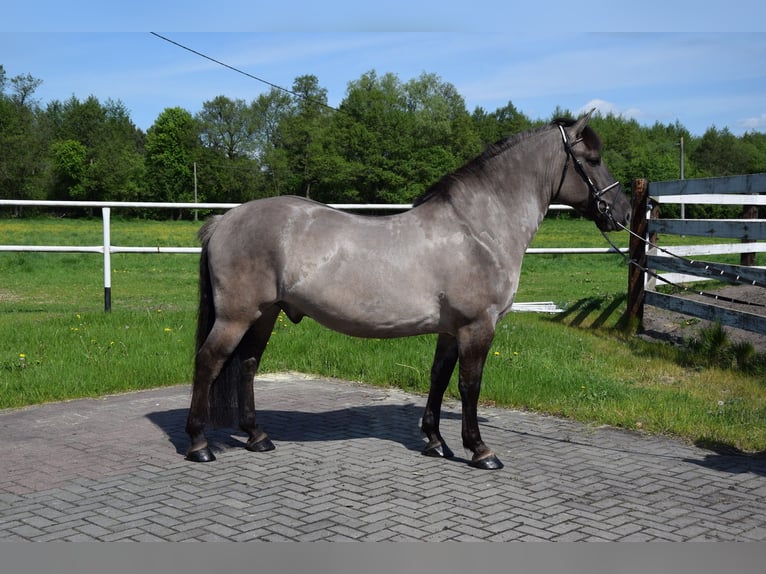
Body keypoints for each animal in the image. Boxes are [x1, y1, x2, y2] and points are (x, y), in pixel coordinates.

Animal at [185, 109, 631, 470]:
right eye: (592, 159)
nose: (622, 212)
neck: (477, 230)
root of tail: (223, 221)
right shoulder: (478, 326)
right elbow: (470, 384)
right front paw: (480, 450)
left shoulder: (451, 329)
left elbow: (438, 378)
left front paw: (435, 442)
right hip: (236, 316)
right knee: (208, 362)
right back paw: (199, 444)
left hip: (265, 314)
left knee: (247, 365)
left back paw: (257, 437)